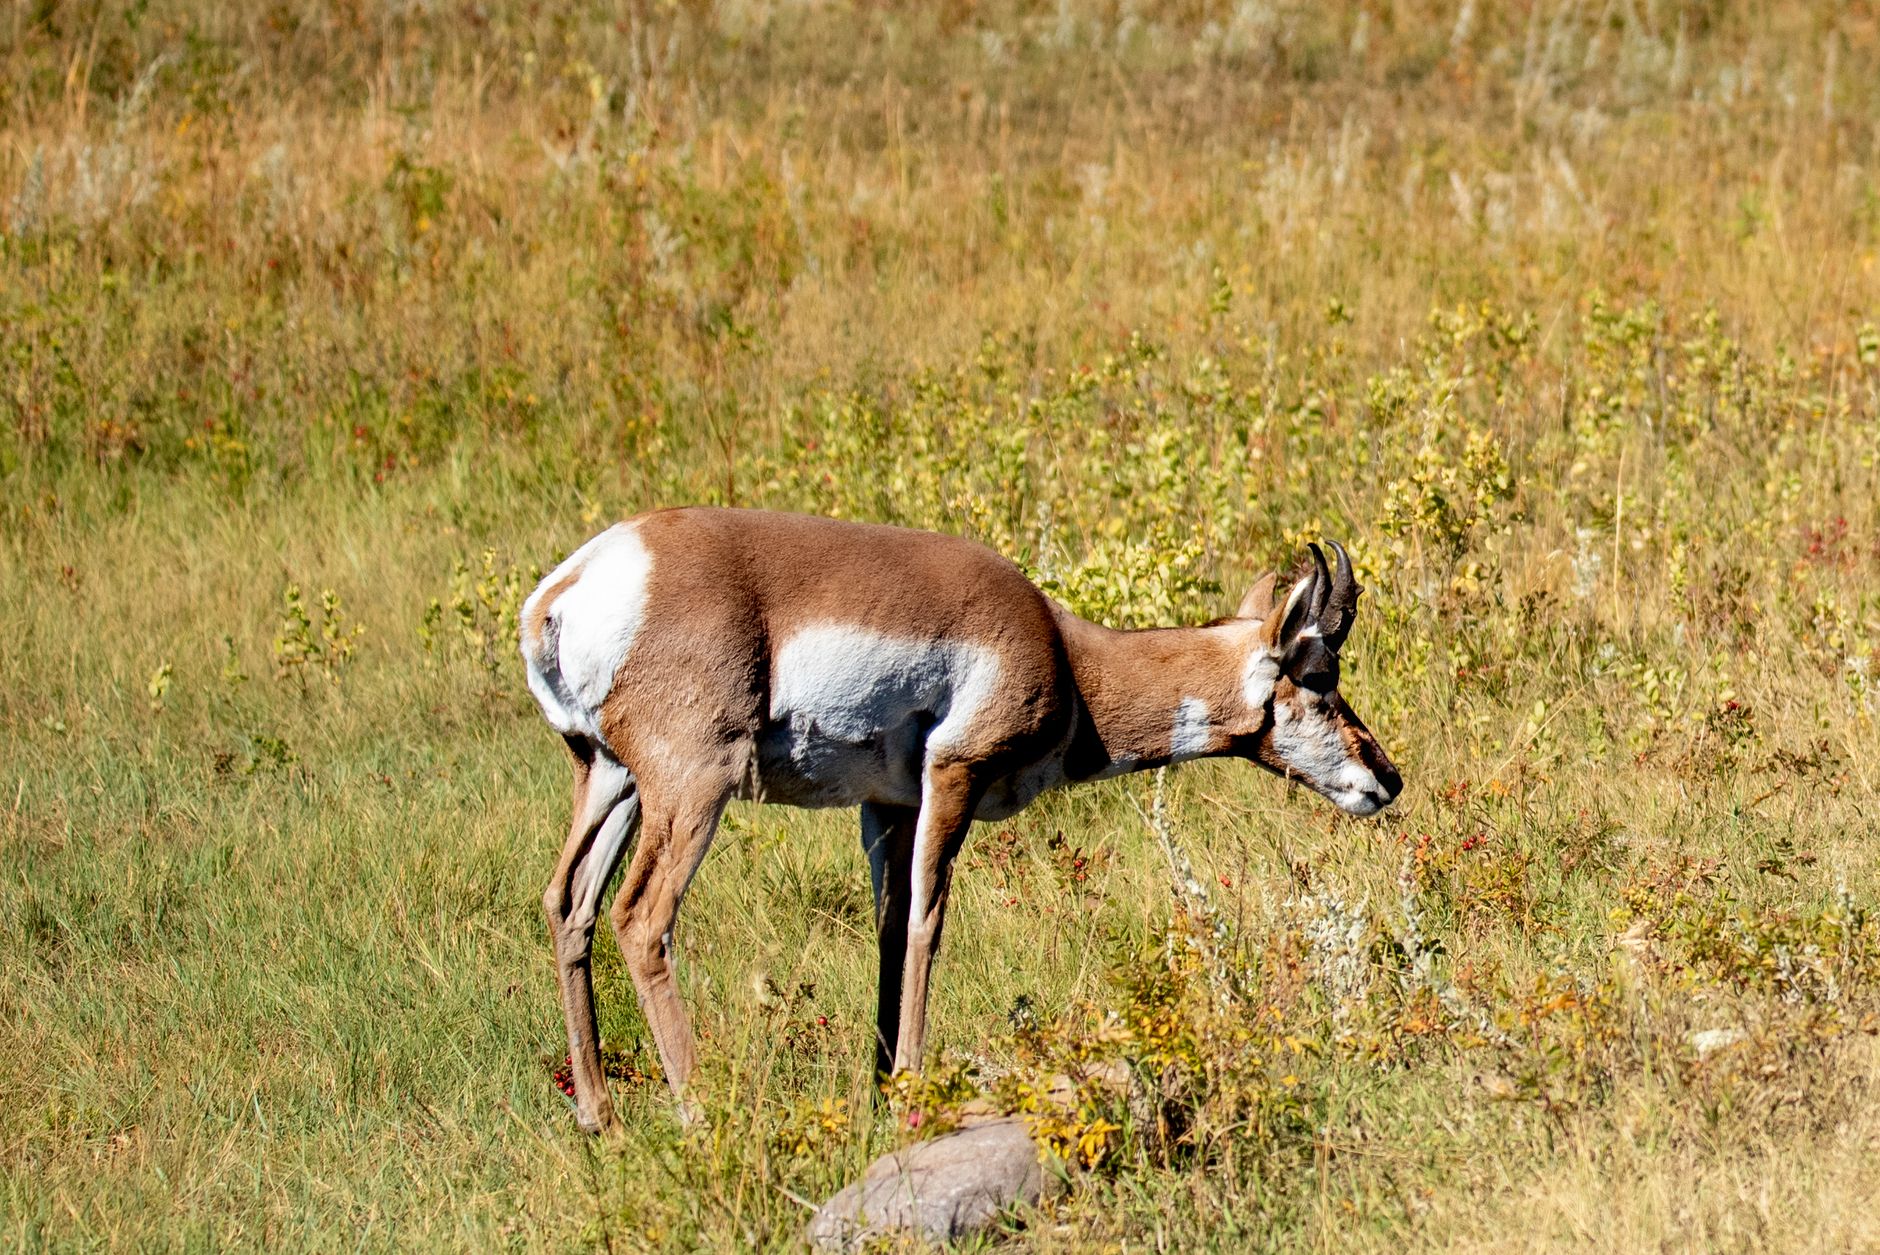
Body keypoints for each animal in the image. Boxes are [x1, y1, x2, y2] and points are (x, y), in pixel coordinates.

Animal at [520, 507, 1401, 1133]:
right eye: (1319, 676)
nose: (1386, 778)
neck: (1067, 655)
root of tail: (574, 584)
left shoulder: (889, 805)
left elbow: (886, 926)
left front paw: (883, 1086)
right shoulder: (953, 776)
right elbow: (926, 920)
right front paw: (915, 1091)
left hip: (610, 780)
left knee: (569, 901)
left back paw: (600, 1117)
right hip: (693, 788)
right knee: (641, 916)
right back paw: (701, 1110)